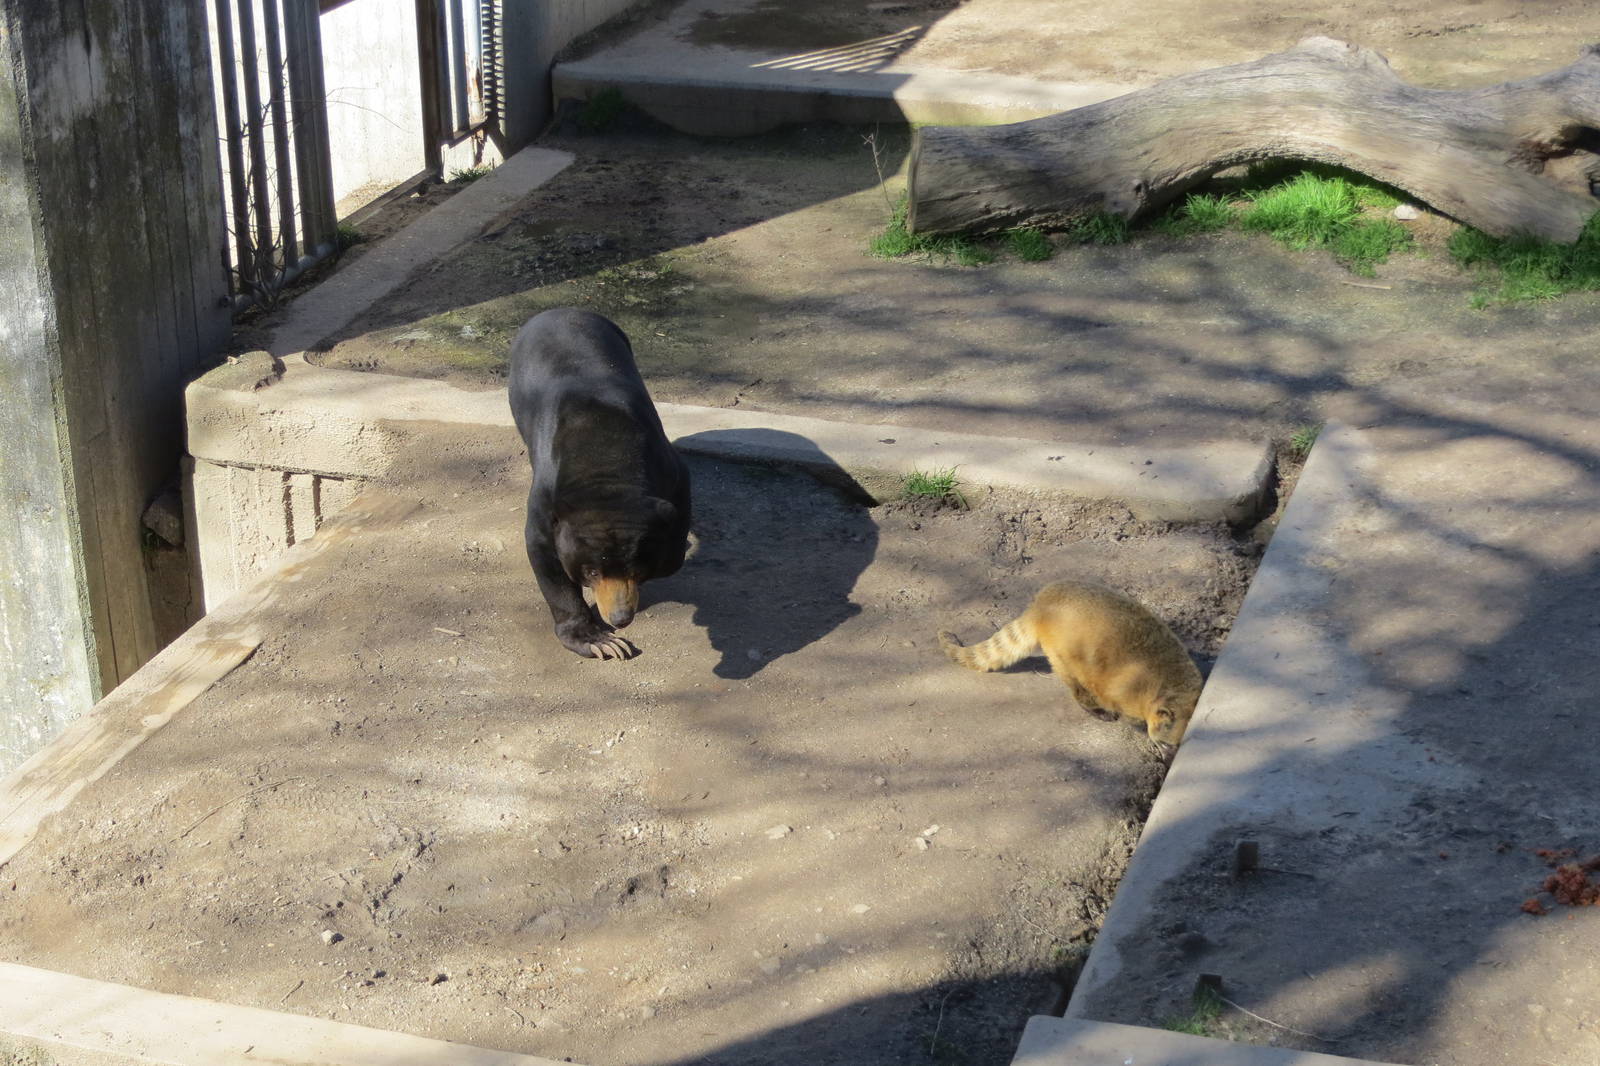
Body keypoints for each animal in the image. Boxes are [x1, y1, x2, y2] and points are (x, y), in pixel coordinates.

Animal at [508, 308, 691, 660]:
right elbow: (544, 554)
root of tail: (559, 310)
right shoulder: (547, 501)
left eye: (636, 566)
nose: (620, 618)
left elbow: (675, 530)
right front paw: (601, 641)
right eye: (591, 571)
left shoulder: (669, 469)